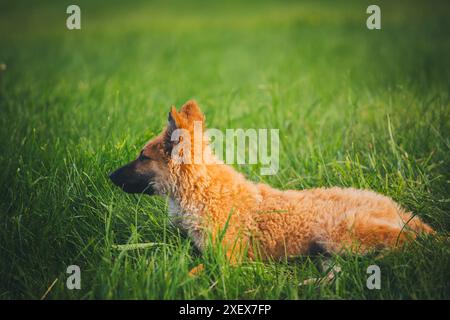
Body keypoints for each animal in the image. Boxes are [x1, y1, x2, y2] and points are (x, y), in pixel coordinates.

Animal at [109, 101, 432, 264]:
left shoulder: (227, 261)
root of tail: (393, 206)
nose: (108, 176)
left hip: (341, 235)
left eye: (142, 157)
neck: (201, 192)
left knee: (409, 241)